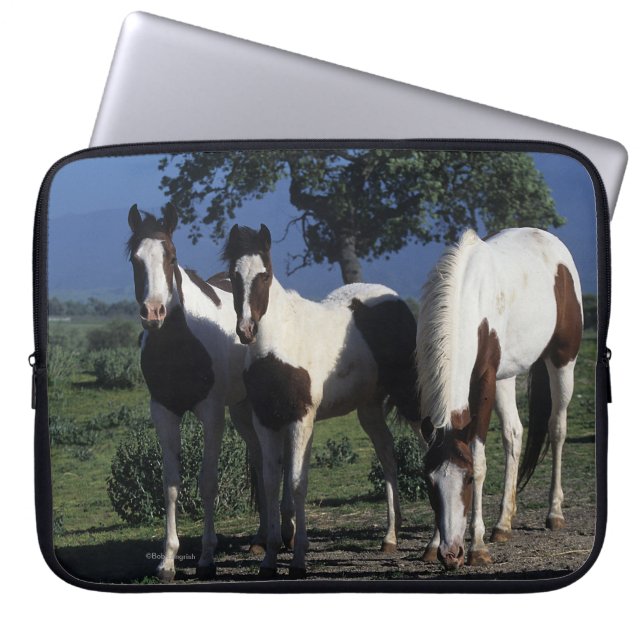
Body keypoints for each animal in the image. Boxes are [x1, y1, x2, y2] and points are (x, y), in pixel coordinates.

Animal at [126, 203, 268, 582]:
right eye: (134, 259)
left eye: (171, 257)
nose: (153, 313)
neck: (180, 343)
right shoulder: (163, 412)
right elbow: (171, 483)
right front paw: (167, 561)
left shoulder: (211, 413)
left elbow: (207, 482)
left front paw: (206, 557)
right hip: (242, 410)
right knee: (260, 458)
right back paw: (262, 538)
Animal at [222, 223, 422, 578]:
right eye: (233, 276)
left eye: (265, 275)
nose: (246, 330)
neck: (279, 344)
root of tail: (394, 300)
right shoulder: (266, 421)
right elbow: (270, 483)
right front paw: (269, 558)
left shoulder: (301, 419)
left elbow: (297, 483)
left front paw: (299, 560)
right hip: (369, 409)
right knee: (388, 456)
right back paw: (390, 537)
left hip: (408, 397)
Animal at [416, 227, 583, 570]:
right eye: (429, 483)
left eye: (467, 480)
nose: (451, 554)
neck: (465, 299)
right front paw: (432, 543)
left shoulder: (484, 380)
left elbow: (480, 459)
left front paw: (477, 547)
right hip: (506, 376)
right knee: (514, 434)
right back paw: (503, 524)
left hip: (563, 361)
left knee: (557, 428)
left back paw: (554, 513)